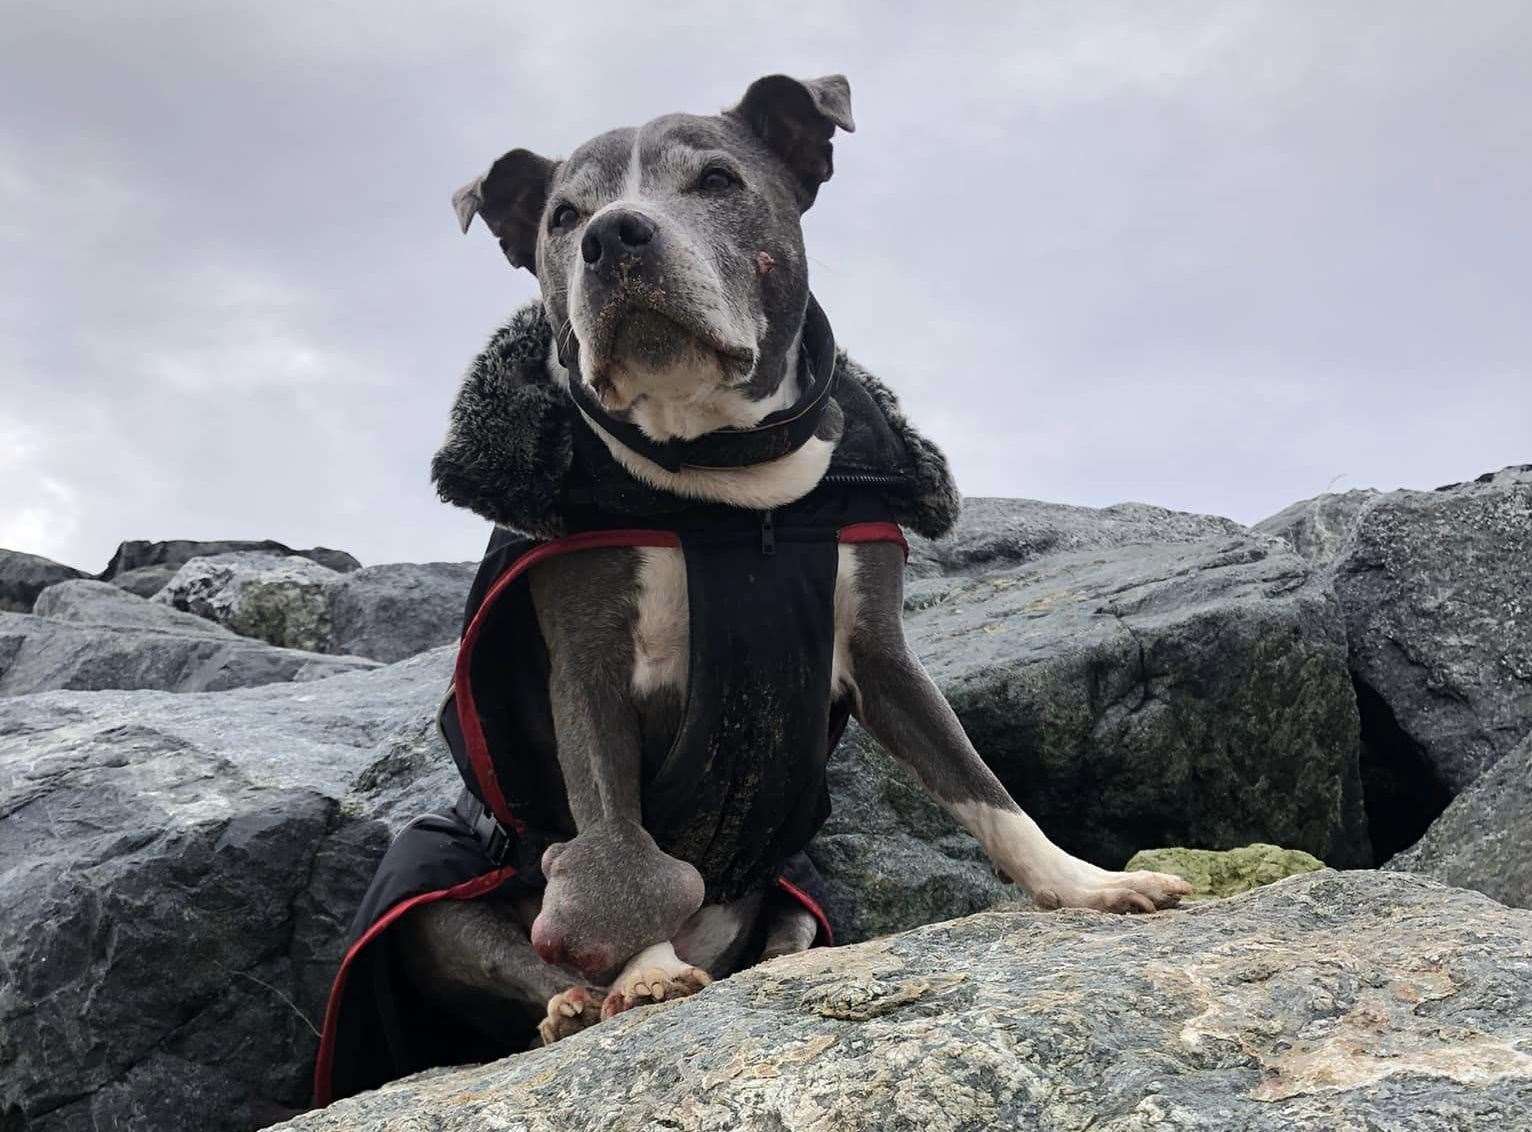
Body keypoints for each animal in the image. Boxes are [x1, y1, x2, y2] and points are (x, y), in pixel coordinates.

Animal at [398, 75, 1194, 1053]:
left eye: (715, 179)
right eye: (563, 216)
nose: (611, 236)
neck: (726, 479)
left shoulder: (882, 654)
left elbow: (984, 788)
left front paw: (1088, 883)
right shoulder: (585, 667)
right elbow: (611, 822)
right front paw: (645, 970)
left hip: (793, 882)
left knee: (790, 926)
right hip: (442, 910)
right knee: (532, 950)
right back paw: (578, 1000)